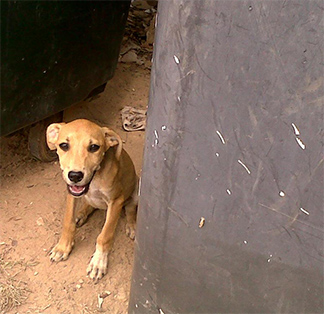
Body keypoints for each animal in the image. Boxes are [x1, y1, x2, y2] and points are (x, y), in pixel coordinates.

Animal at [46, 119, 137, 280]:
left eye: (94, 147)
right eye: (64, 145)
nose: (75, 176)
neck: (95, 178)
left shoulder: (116, 201)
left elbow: (104, 235)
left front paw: (98, 262)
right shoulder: (72, 192)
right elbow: (67, 222)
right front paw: (63, 247)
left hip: (137, 189)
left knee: (131, 208)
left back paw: (131, 226)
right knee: (89, 205)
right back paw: (81, 215)